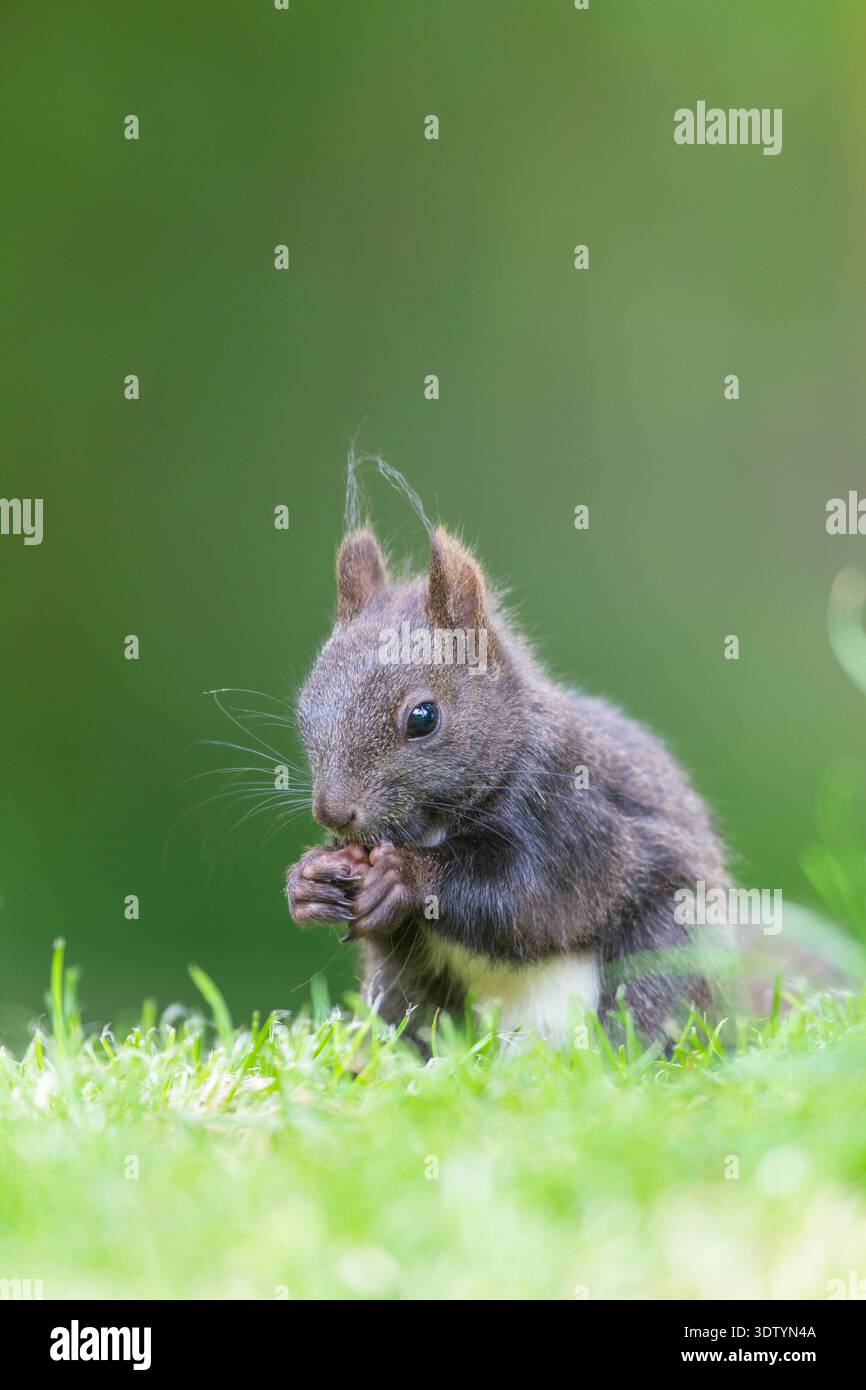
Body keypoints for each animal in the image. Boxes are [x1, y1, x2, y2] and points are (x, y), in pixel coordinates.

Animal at [286, 469, 728, 1047]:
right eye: (304, 706)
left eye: (423, 718)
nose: (334, 813)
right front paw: (307, 882)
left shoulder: (573, 816)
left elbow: (530, 902)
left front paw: (407, 877)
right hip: (404, 988)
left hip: (665, 945)